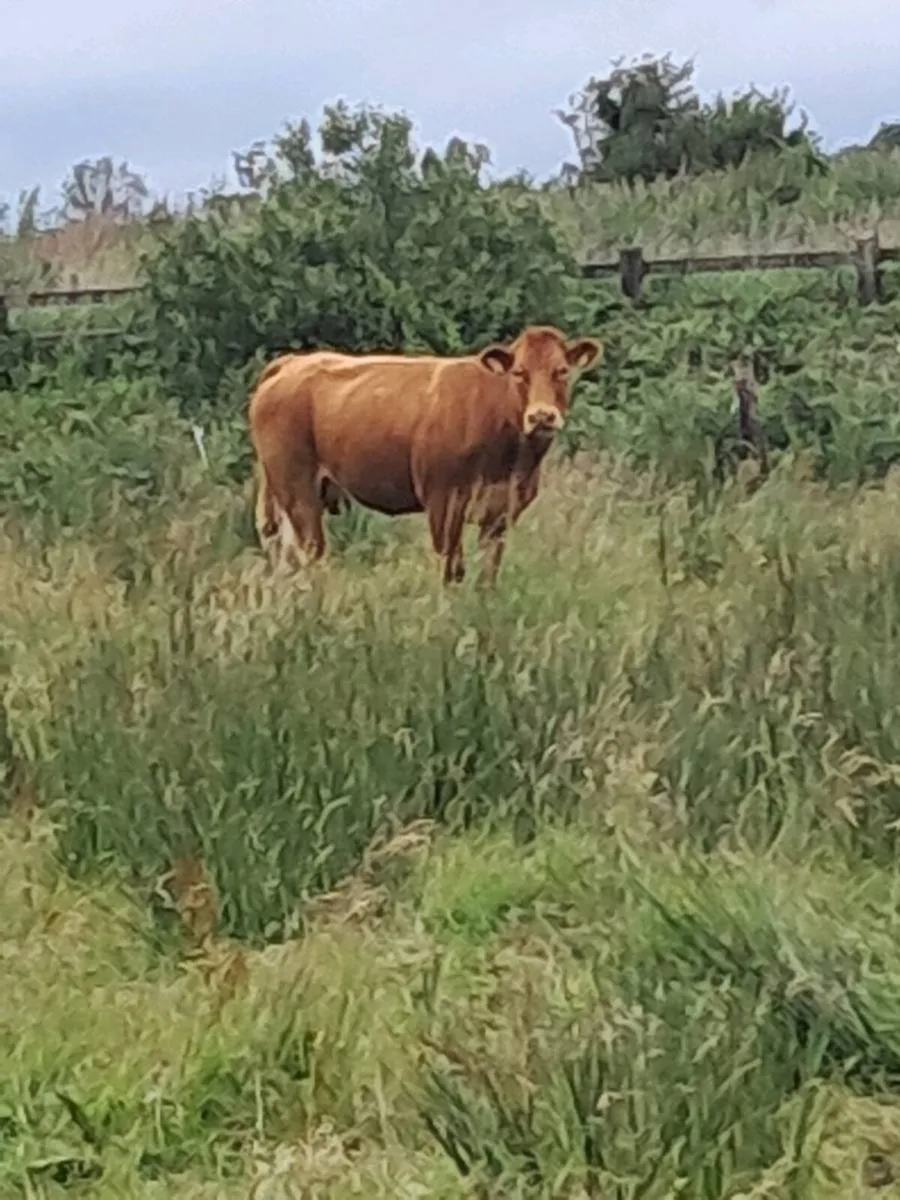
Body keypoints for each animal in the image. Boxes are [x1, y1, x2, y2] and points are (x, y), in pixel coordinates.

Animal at [247, 325, 601, 585]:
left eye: (562, 371)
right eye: (519, 372)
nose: (542, 416)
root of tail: (292, 363)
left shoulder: (502, 512)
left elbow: (488, 574)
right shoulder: (443, 501)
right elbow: (451, 568)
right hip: (296, 486)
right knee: (310, 551)